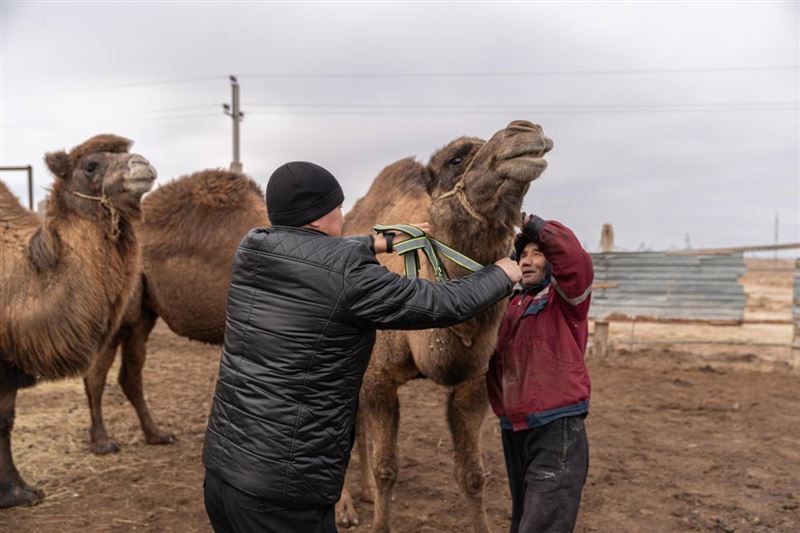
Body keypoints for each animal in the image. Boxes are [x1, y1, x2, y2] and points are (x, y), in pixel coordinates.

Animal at [83, 169, 268, 454]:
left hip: (144, 313)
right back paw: (103, 442)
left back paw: (156, 434)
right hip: (122, 308)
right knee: (97, 373)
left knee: (130, 373)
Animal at [336, 121, 552, 532]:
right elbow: (388, 468)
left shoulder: (473, 382)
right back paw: (346, 509)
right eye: (455, 159)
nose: (525, 129)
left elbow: (472, 474)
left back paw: (365, 495)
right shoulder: (378, 376)